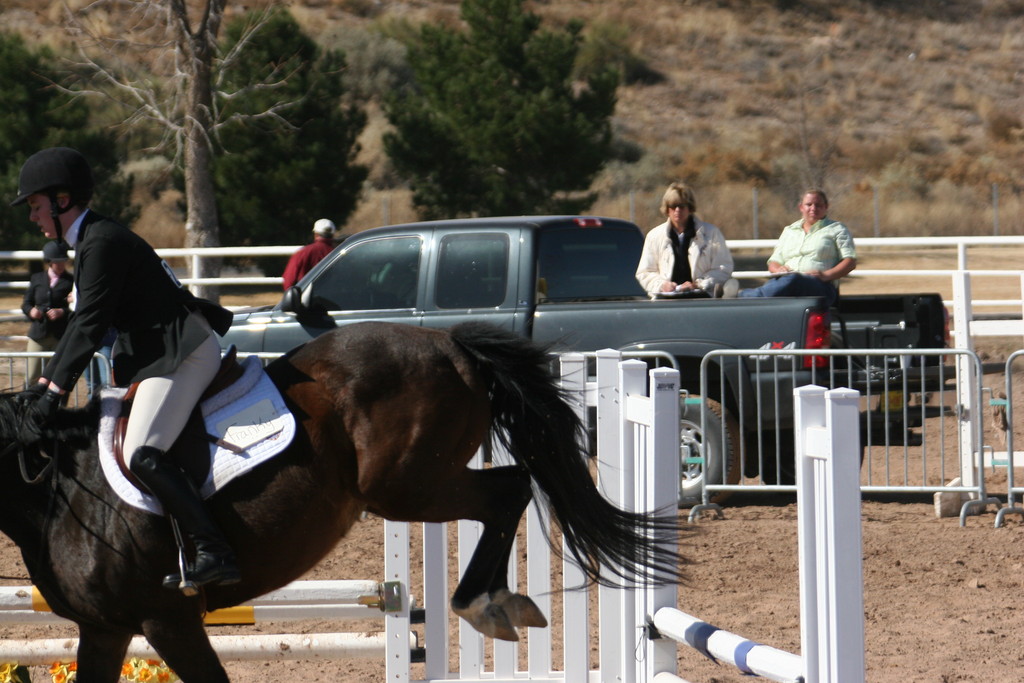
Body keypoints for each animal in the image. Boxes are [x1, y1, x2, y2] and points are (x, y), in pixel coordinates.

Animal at [2, 321, 688, 683]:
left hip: (406, 486)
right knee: (509, 490)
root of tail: (454, 346)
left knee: (510, 488)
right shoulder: (105, 628)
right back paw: (494, 601)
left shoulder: (167, 619)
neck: (60, 488)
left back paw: (484, 602)